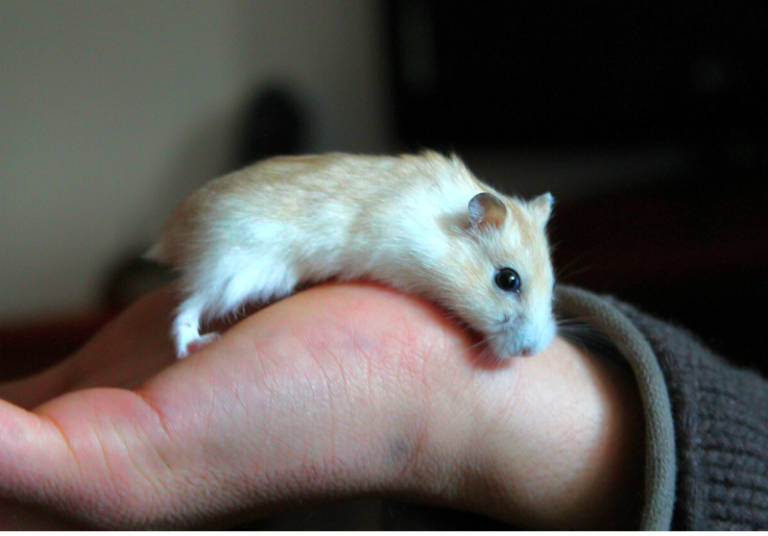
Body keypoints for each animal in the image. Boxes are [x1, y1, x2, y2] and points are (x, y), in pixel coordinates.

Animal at [146, 151, 556, 359]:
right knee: (188, 307)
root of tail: (172, 233)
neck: (439, 226)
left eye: (552, 286)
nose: (531, 352)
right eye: (508, 280)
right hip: (234, 267)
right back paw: (194, 345)